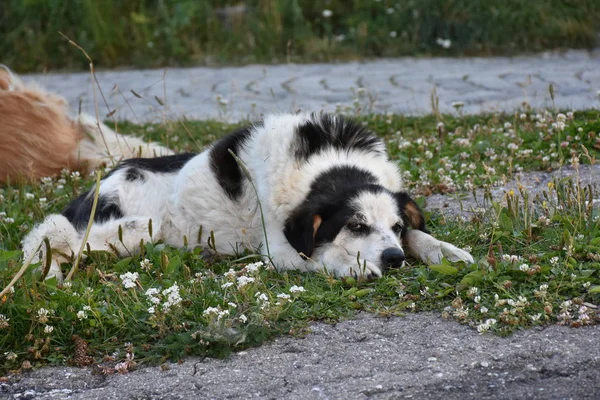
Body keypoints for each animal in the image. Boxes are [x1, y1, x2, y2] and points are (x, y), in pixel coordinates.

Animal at [22, 112, 474, 282]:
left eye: (395, 225)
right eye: (355, 225)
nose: (394, 260)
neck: (328, 164)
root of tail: (95, 186)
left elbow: (419, 235)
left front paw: (444, 250)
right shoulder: (280, 247)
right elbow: (322, 256)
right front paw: (353, 266)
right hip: (125, 229)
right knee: (54, 239)